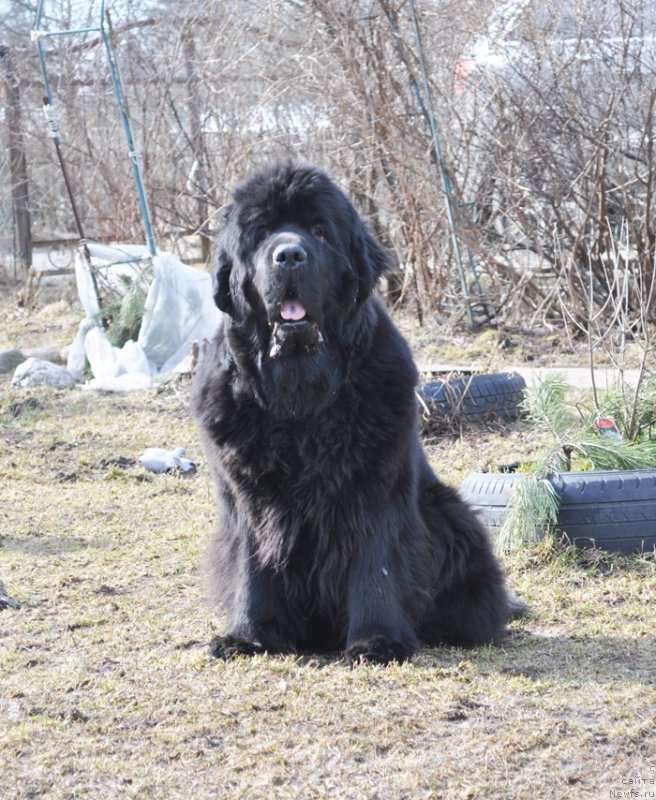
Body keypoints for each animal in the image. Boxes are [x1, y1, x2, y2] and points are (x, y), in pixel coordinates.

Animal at [192, 161, 510, 664]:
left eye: (320, 231)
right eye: (260, 234)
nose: (289, 255)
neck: (301, 398)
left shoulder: (375, 488)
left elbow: (375, 564)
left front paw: (378, 641)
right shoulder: (246, 495)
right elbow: (252, 563)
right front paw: (247, 635)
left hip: (449, 511)